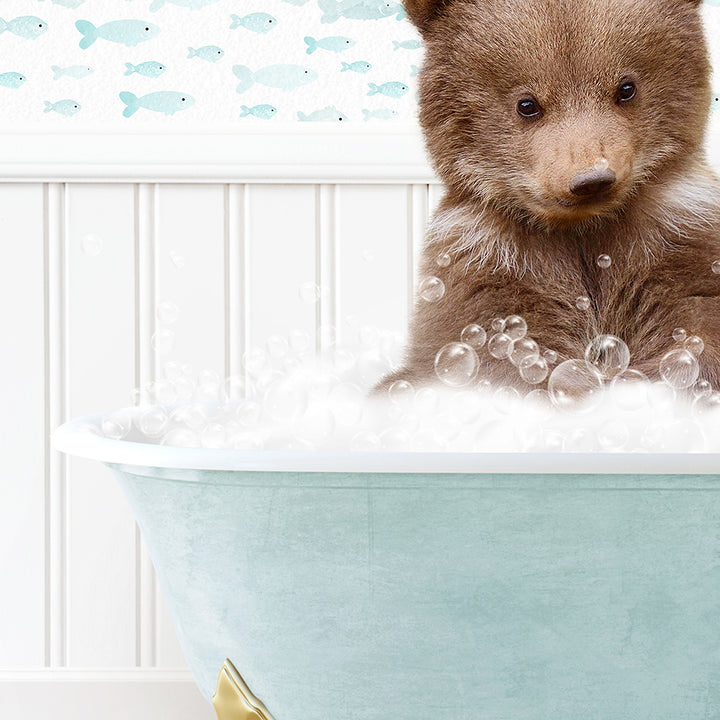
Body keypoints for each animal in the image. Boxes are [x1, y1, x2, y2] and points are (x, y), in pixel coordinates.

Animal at [380, 0, 720, 394]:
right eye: (527, 104)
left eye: (626, 88)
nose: (591, 179)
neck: (582, 229)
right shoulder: (491, 262)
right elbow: (503, 349)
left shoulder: (675, 235)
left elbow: (694, 320)